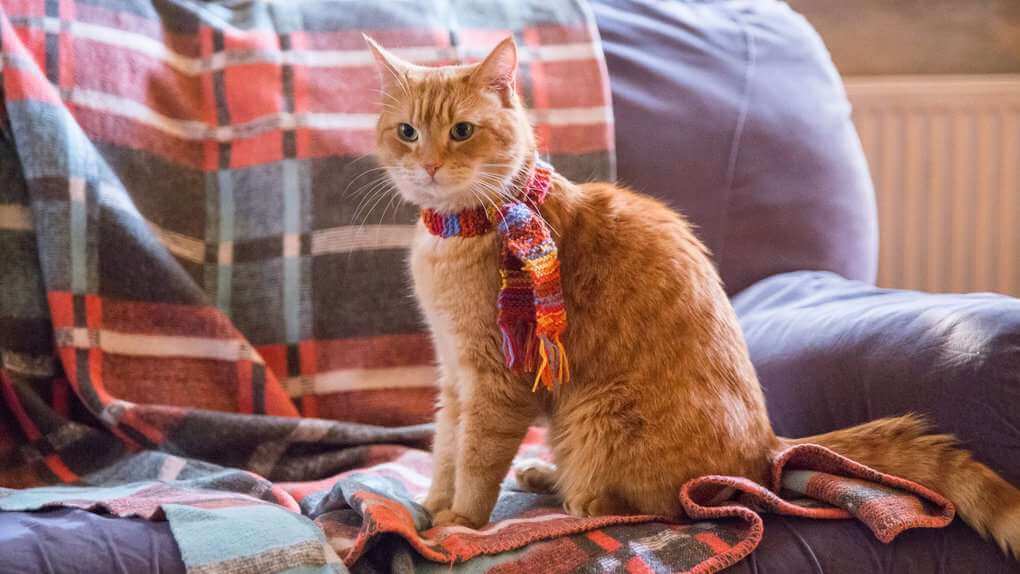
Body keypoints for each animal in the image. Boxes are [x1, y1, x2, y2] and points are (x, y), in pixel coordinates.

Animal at [365, 35, 1020, 558]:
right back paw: (542, 474)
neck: (460, 231)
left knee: (650, 503)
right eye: (408, 132)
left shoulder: (497, 381)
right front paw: (434, 504)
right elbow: (446, 447)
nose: (428, 164)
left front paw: (461, 522)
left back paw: (570, 496)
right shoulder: (455, 375)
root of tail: (768, 445)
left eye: (462, 131)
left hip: (593, 421)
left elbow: (475, 459)